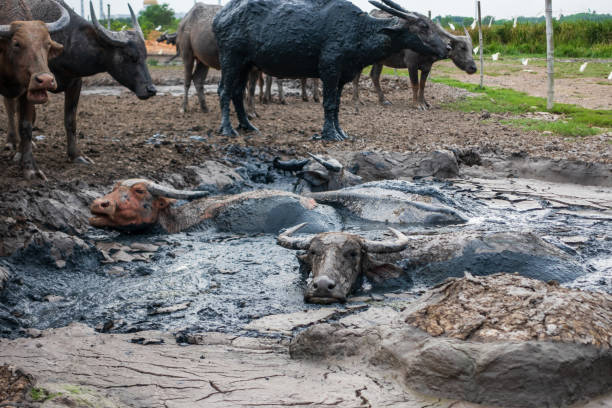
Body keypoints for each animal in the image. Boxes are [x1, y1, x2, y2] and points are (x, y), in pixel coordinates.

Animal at [0, 0, 69, 179]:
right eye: (16, 44)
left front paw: (30, 167)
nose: (45, 80)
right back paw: (11, 142)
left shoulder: (26, 91)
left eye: (47, 44)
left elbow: (26, 125)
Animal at [3, 0, 155, 167]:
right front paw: (20, 153)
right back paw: (11, 141)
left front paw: (76, 155)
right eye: (130, 56)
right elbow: (26, 118)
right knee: (9, 107)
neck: (65, 44)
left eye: (145, 55)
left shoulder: (75, 83)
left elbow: (70, 120)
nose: (151, 90)